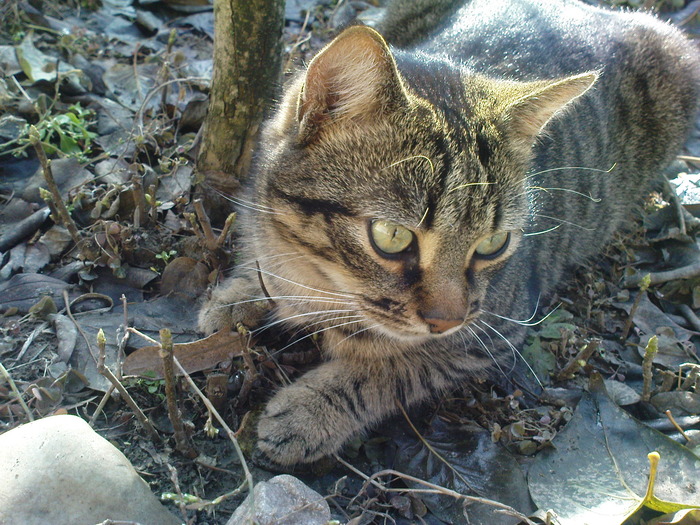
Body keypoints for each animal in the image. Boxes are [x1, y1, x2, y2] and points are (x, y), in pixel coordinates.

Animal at [198, 0, 700, 464]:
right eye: (392, 236)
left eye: (493, 244)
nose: (447, 321)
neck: (318, 283)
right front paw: (237, 295)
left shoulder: (492, 331)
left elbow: (390, 369)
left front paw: (309, 412)